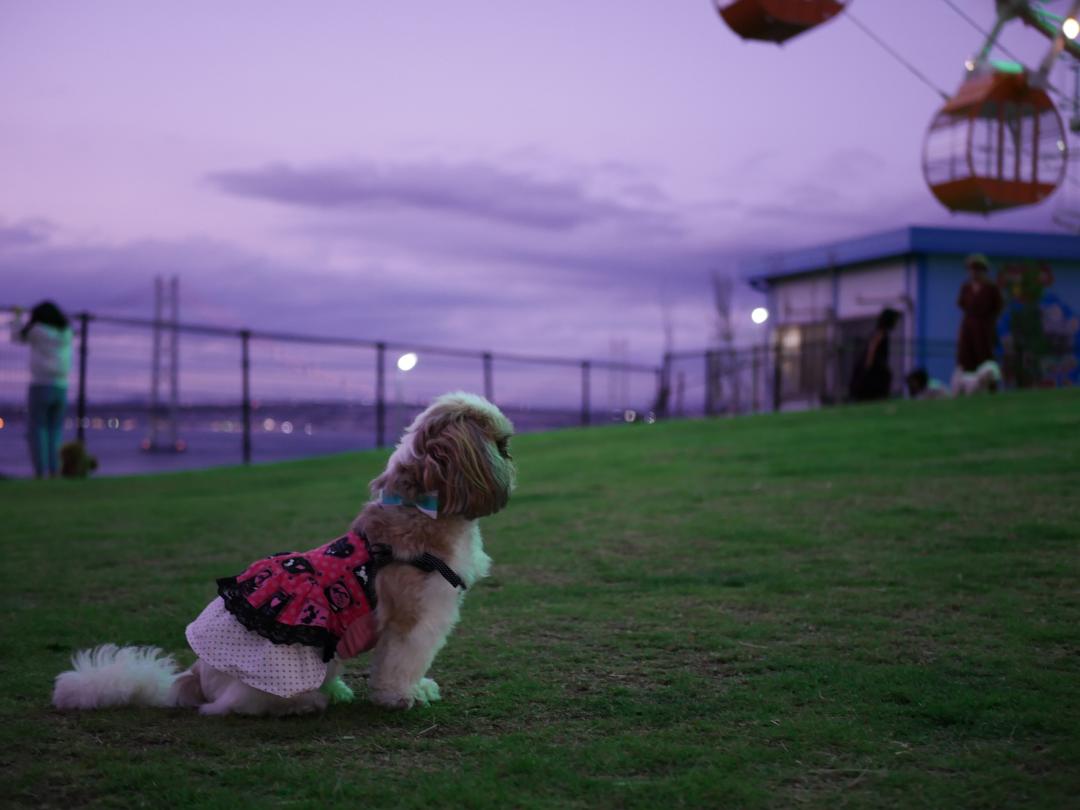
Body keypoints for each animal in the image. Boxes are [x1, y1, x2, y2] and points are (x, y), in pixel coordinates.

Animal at [52, 393, 516, 717]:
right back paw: (303, 703)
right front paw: (403, 697)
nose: (512, 458)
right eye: (502, 443)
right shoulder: (414, 621)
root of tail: (193, 676)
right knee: (230, 707)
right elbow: (402, 665)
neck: (421, 505)